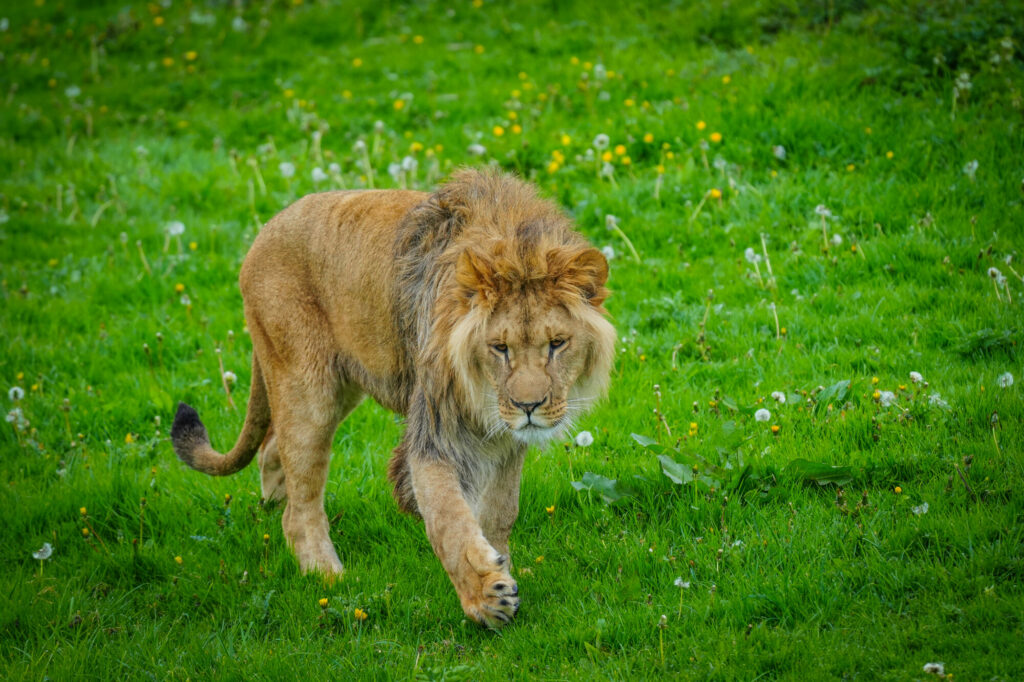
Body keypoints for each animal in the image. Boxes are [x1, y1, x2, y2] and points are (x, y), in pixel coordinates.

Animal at [171, 168, 615, 628]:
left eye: (557, 344)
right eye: (500, 348)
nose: (529, 407)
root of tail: (263, 231)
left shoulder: (506, 440)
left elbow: (499, 512)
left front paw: (502, 563)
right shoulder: (435, 433)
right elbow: (449, 518)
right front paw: (486, 596)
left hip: (342, 384)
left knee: (274, 450)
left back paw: (272, 507)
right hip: (308, 388)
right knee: (299, 505)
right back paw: (327, 576)